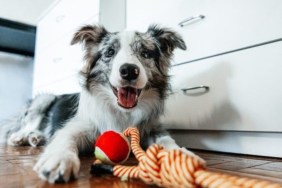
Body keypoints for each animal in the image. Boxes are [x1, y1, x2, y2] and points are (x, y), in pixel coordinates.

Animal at [0, 24, 203, 183]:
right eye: (110, 52)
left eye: (145, 53)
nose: (129, 71)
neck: (122, 112)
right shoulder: (78, 126)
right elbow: (65, 138)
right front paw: (60, 159)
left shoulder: (152, 127)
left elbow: (167, 140)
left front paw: (182, 157)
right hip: (44, 99)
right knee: (19, 129)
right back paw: (22, 137)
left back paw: (36, 137)